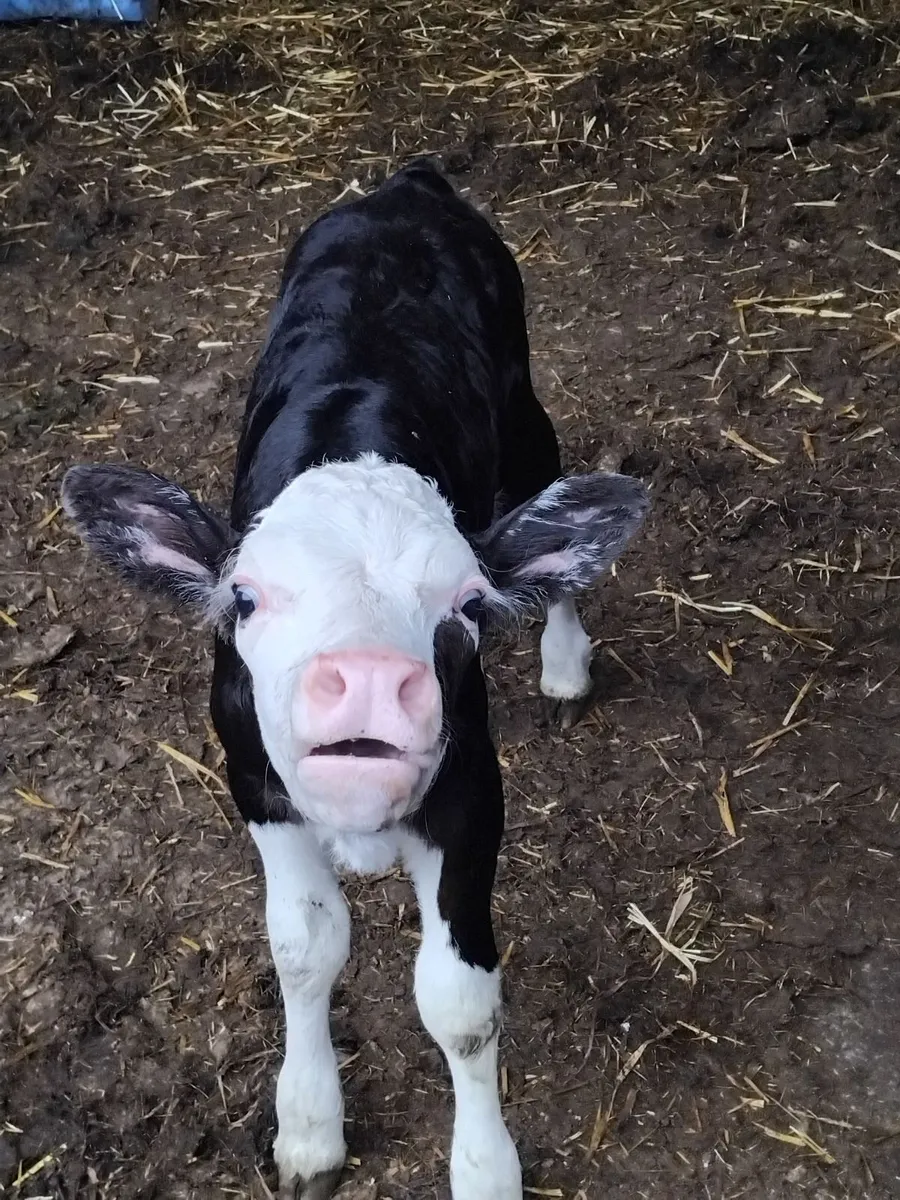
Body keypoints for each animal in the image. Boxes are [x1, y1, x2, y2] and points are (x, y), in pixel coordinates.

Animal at [62, 158, 649, 1200]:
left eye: (465, 604)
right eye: (244, 597)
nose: (369, 681)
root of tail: (408, 185)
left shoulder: (471, 792)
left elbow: (459, 1002)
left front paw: (485, 1167)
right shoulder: (256, 785)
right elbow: (304, 948)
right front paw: (307, 1124)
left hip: (523, 407)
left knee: (552, 527)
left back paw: (563, 662)